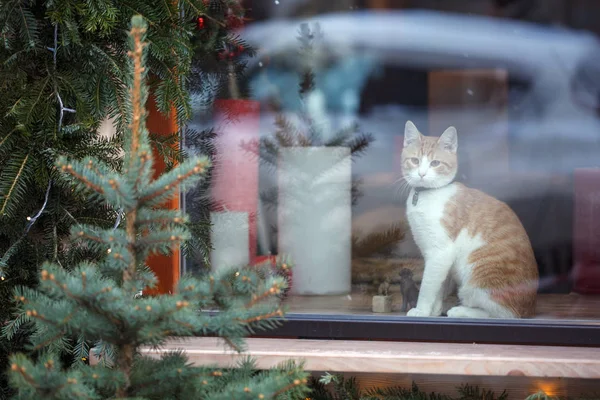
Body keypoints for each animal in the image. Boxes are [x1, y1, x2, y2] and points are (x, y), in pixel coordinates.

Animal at [404, 121, 540, 318]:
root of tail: (529, 309)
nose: (421, 174)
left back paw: (460, 311)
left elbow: (427, 286)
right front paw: (434, 310)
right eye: (414, 161)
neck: (427, 195)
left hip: (476, 281)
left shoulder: (440, 251)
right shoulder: (438, 257)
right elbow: (439, 284)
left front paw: (421, 310)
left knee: (503, 314)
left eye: (435, 163)